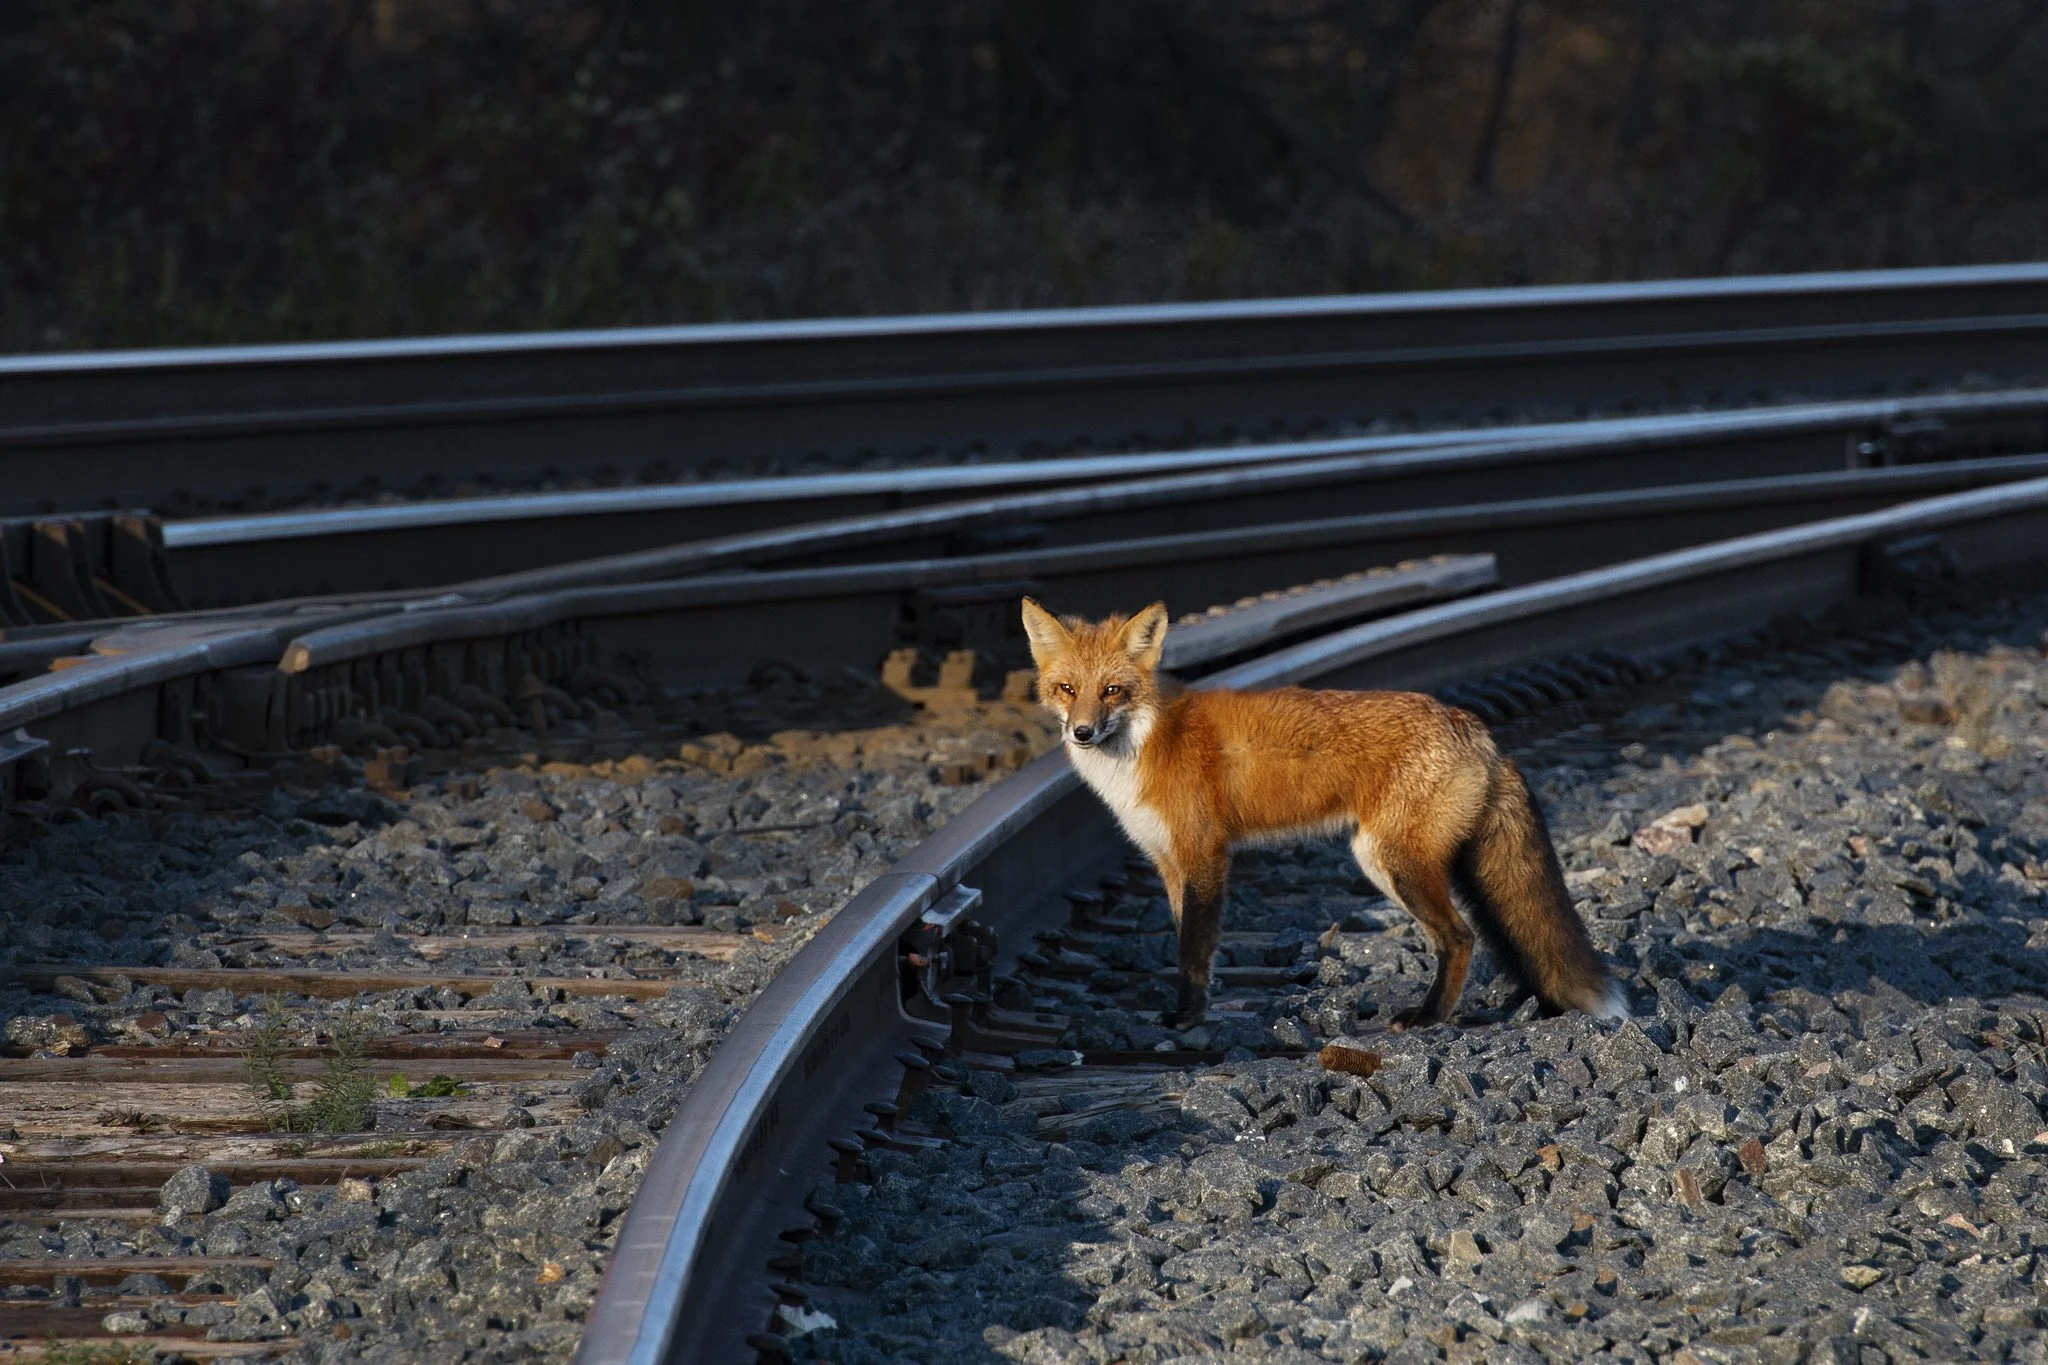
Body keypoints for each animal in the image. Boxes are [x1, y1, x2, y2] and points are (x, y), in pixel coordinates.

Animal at [1020, 596, 1625, 1030]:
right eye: (1067, 689)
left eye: (1112, 691)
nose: (1082, 732)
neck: (1146, 745)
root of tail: (1473, 725)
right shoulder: (1170, 863)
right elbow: (1190, 944)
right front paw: (1195, 1009)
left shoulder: (1204, 855)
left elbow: (1193, 949)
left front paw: (1186, 1019)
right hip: (1383, 861)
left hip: (1395, 862)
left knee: (1460, 937)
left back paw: (1428, 1018)